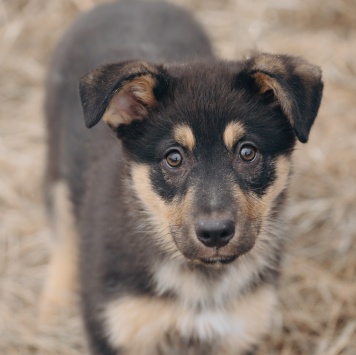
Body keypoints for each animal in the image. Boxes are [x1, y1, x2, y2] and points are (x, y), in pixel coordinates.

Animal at [41, 0, 322, 355]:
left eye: (247, 152)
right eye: (173, 158)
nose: (215, 234)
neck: (201, 281)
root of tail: (124, 5)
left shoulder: (240, 331)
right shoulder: (117, 328)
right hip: (55, 166)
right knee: (63, 233)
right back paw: (53, 305)